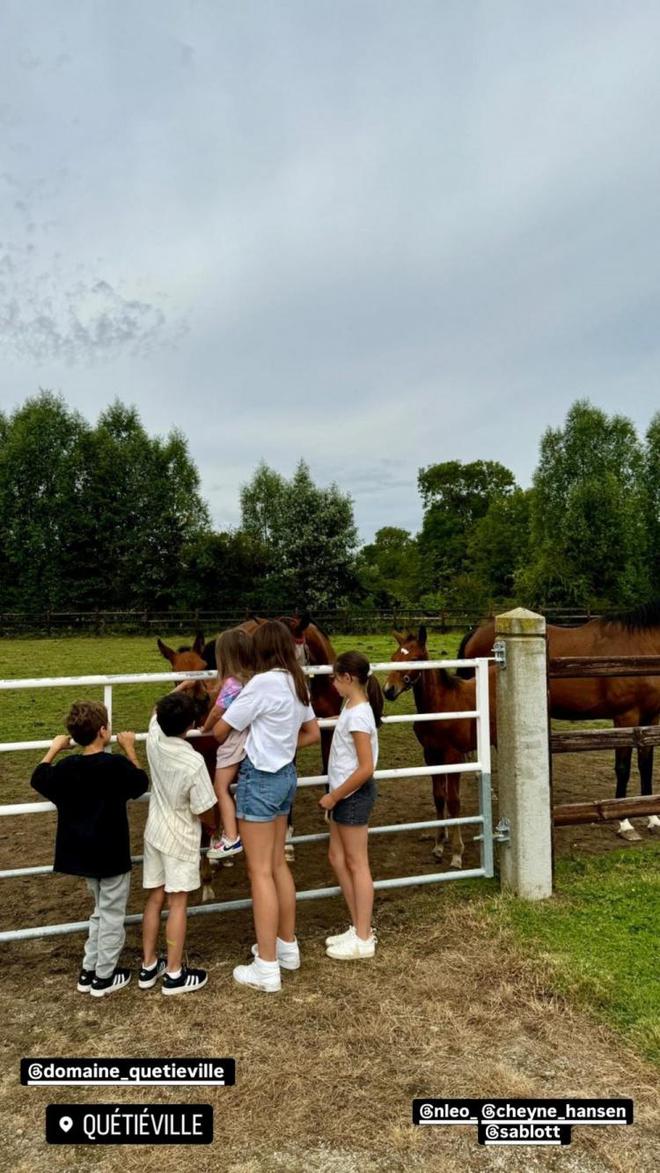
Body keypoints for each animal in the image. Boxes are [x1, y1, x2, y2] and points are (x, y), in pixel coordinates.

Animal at [382, 628, 497, 868]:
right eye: (393, 658)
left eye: (415, 659)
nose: (388, 690)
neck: (440, 705)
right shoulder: (431, 755)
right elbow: (438, 797)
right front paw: (439, 844)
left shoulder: (453, 757)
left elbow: (453, 802)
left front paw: (457, 853)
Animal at [459, 609, 660, 839]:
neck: (640, 646)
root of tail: (476, 632)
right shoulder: (625, 717)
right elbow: (623, 768)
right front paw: (625, 823)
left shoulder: (651, 719)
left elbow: (646, 766)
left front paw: (652, 818)